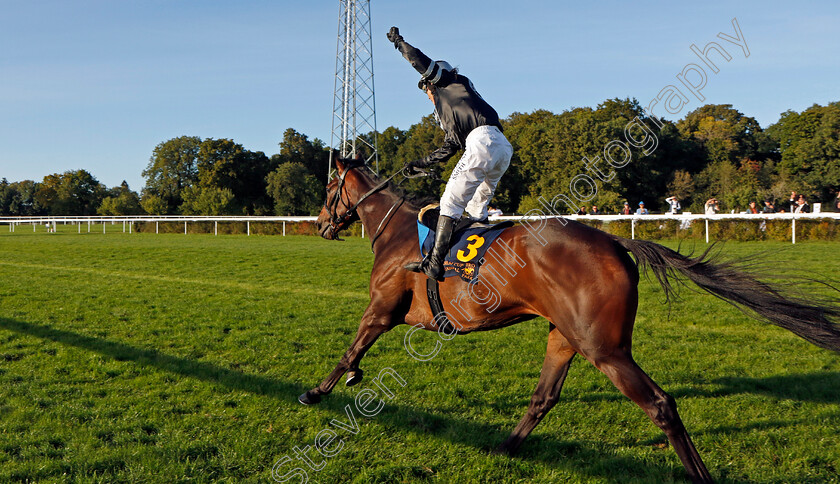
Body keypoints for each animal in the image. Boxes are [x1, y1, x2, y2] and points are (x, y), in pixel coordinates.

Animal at [302, 156, 840, 484]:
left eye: (329, 187)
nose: (322, 225)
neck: (395, 232)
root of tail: (618, 241)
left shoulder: (382, 307)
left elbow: (351, 347)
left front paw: (318, 391)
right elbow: (356, 351)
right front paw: (348, 379)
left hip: (604, 348)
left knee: (661, 404)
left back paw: (699, 474)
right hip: (565, 335)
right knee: (544, 397)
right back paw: (505, 447)